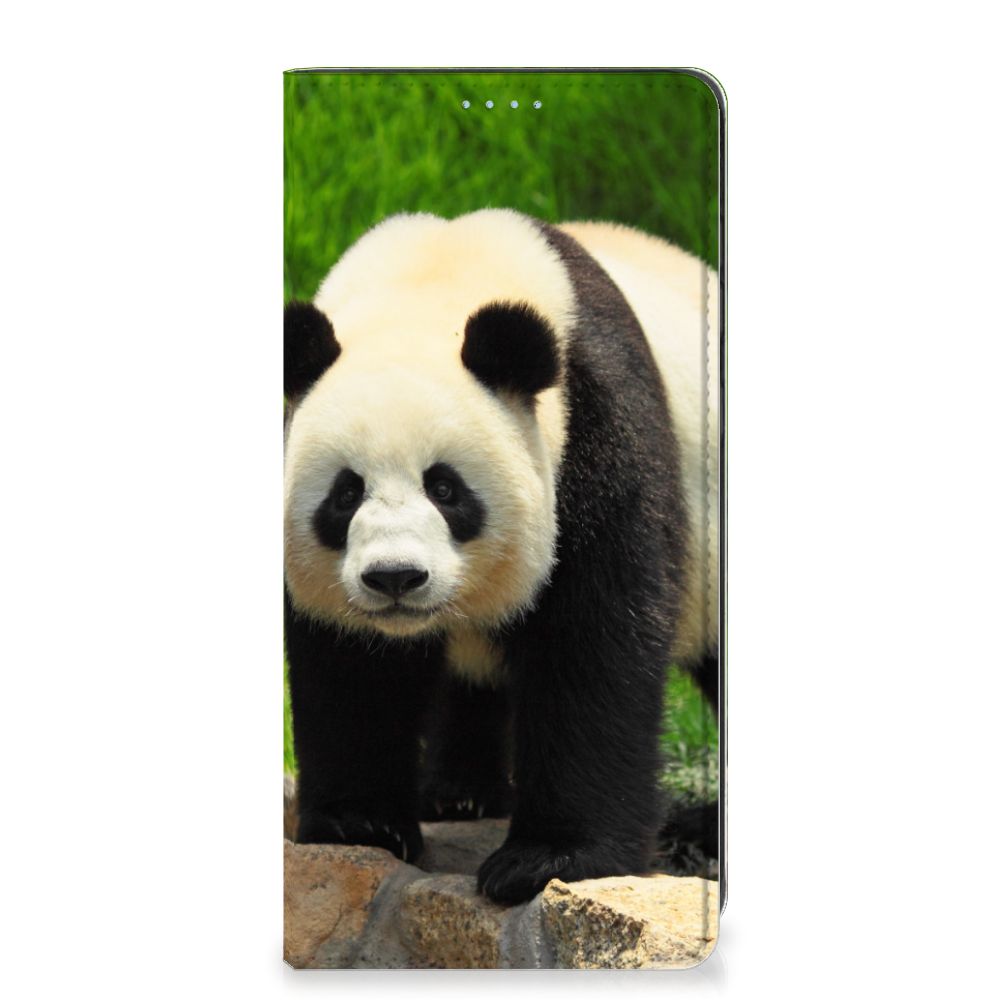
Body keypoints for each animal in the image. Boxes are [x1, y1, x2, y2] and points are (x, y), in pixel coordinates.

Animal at [284, 208, 719, 905]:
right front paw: (360, 825)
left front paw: (547, 859)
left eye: (445, 488)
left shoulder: (597, 429)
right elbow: (350, 665)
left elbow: (593, 641)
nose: (395, 578)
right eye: (345, 494)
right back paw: (459, 794)